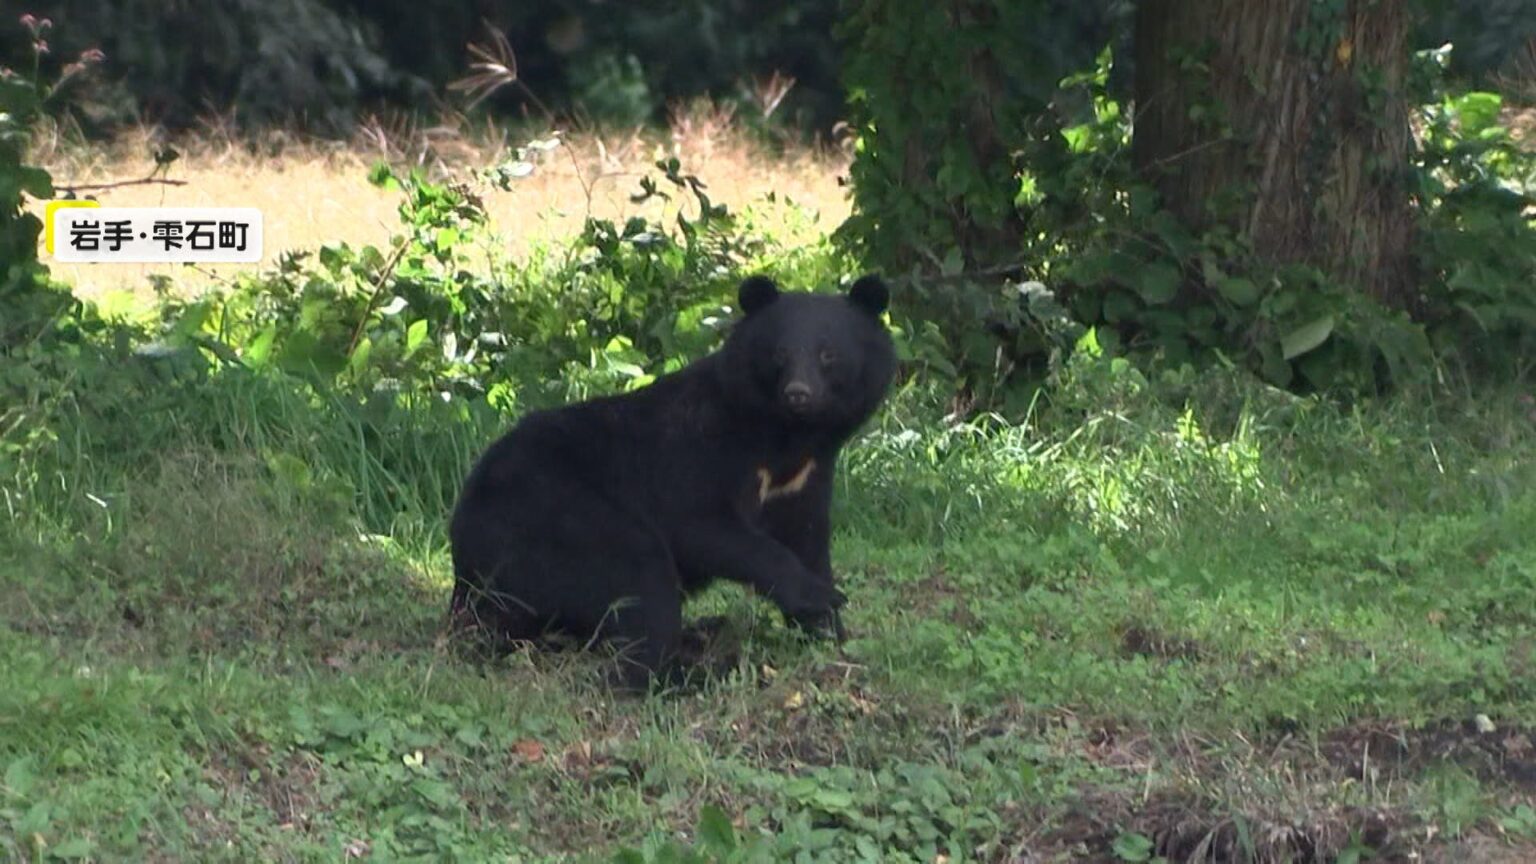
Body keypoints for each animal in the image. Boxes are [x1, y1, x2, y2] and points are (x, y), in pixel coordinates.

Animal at [447, 274, 896, 690]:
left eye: (829, 354)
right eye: (780, 353)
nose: (799, 393)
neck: (785, 438)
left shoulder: (806, 480)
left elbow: (808, 540)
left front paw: (829, 633)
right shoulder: (700, 454)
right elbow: (705, 527)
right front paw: (822, 597)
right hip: (557, 520)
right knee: (640, 583)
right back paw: (686, 672)